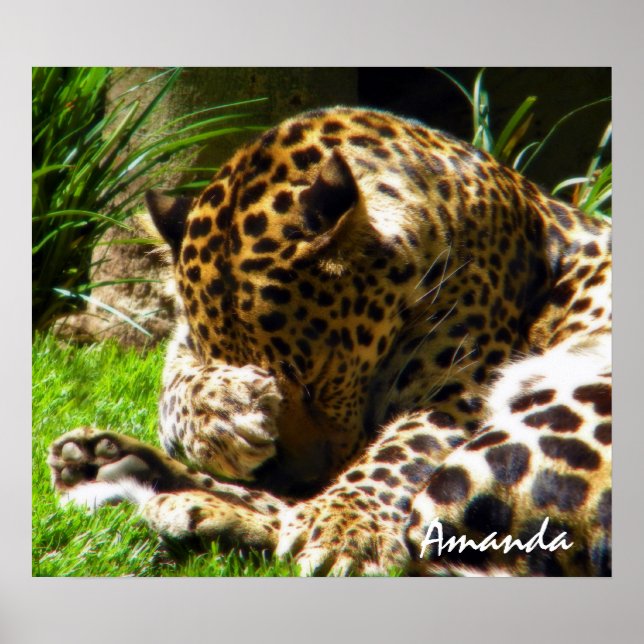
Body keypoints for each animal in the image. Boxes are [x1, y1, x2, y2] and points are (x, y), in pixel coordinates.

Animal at [48, 106, 612, 576]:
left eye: (316, 378)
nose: (295, 478)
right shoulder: (182, 346)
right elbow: (174, 390)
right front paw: (224, 412)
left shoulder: (459, 390)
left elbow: (402, 447)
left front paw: (346, 527)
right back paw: (107, 463)